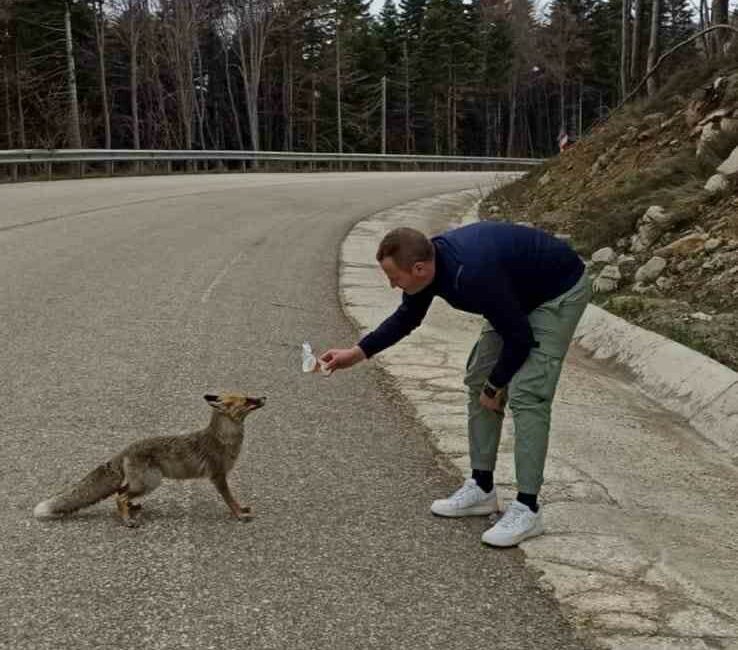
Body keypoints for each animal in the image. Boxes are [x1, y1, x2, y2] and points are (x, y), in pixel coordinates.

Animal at [33, 390, 268, 528]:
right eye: (247, 400)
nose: (264, 397)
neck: (224, 439)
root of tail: (125, 449)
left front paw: (241, 511)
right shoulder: (218, 476)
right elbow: (230, 500)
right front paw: (239, 515)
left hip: (143, 483)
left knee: (120, 493)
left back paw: (131, 510)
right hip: (150, 482)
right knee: (120, 496)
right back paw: (127, 520)